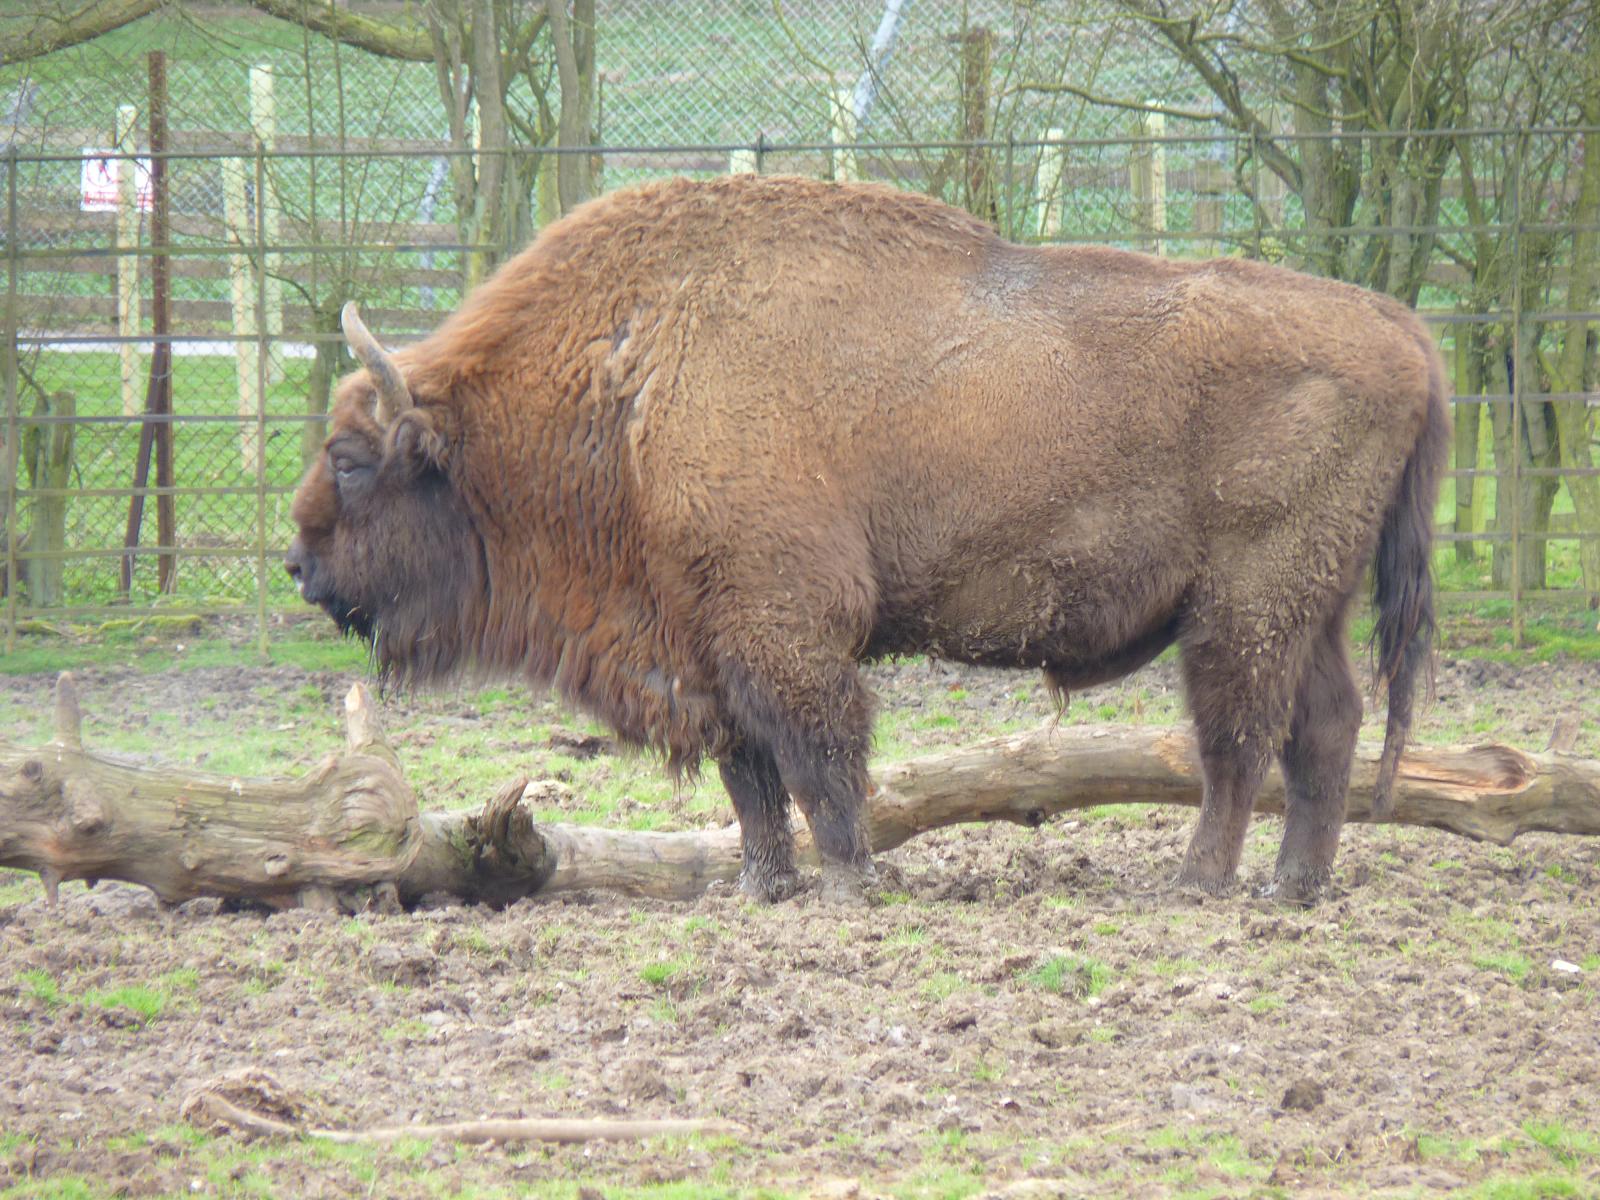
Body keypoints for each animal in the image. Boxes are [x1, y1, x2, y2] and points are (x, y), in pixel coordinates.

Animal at [287, 174, 1448, 905]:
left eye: (349, 457)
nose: (298, 564)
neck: (633, 377)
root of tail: (1402, 328)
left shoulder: (782, 626)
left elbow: (820, 755)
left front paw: (849, 881)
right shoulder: (708, 640)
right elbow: (749, 775)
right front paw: (762, 889)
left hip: (1247, 601)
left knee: (1237, 738)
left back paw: (1199, 883)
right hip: (1313, 603)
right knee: (1325, 727)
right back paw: (1294, 887)